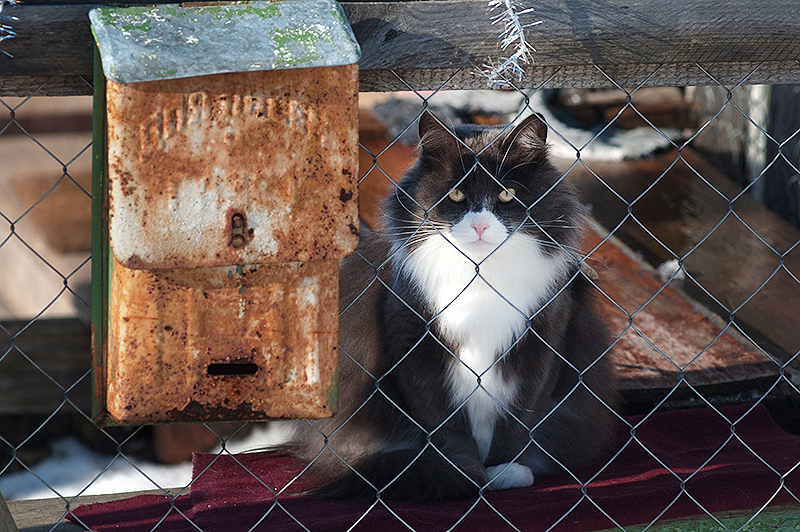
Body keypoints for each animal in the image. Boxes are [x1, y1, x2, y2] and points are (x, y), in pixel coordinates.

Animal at [288, 110, 620, 500]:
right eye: (457, 194)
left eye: (506, 194)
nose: (479, 226)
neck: (480, 275)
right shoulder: (414, 345)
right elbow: (447, 426)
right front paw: (465, 471)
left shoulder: (545, 342)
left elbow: (519, 419)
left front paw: (505, 470)